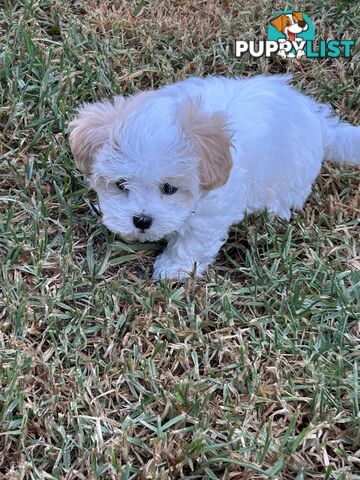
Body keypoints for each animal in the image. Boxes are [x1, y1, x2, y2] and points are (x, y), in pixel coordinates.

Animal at [69, 74, 358, 278]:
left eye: (170, 188)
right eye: (121, 185)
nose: (141, 220)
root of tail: (318, 122)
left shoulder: (210, 214)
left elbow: (193, 241)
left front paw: (173, 269)